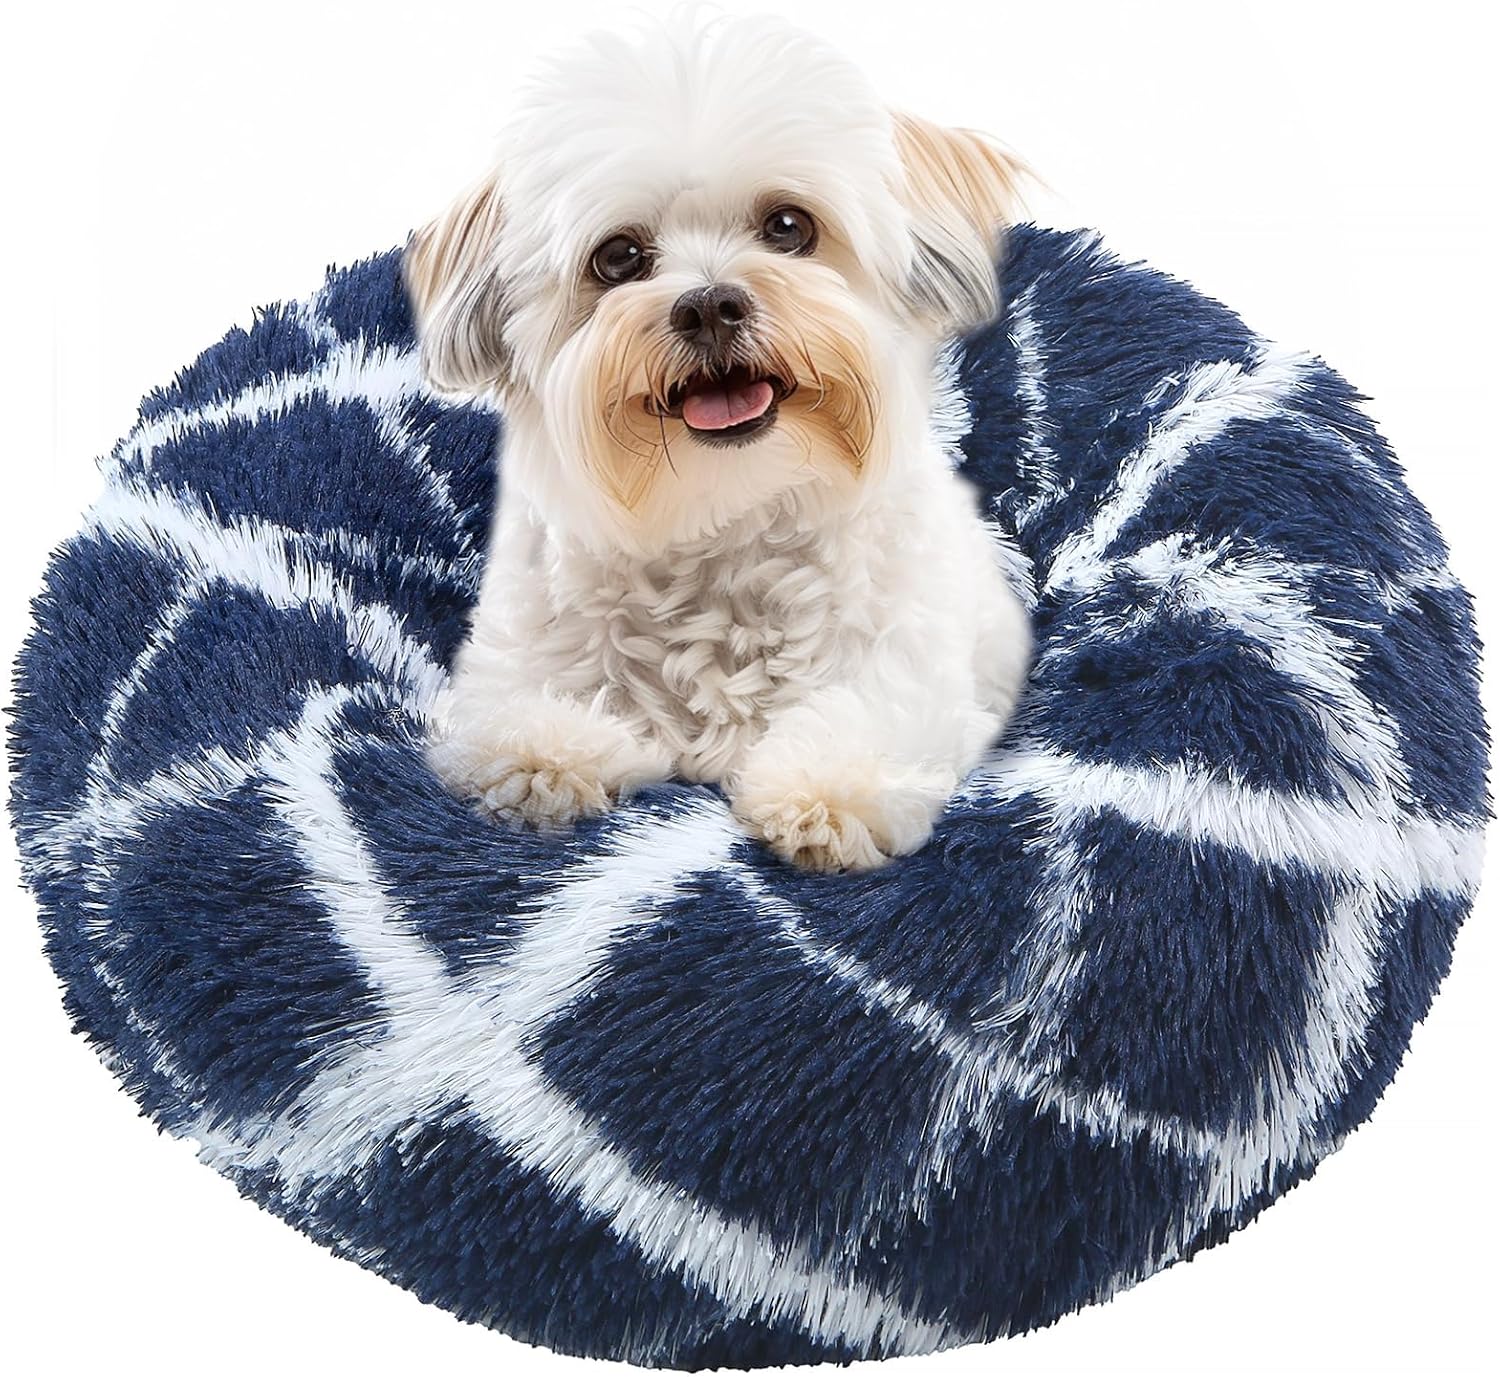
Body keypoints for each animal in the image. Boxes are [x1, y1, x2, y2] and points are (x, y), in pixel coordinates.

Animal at [406, 13, 1032, 871]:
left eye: (789, 226)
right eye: (619, 257)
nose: (708, 305)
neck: (727, 519)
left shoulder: (912, 675)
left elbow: (870, 723)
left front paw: (825, 792)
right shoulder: (510, 667)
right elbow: (519, 723)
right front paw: (547, 760)